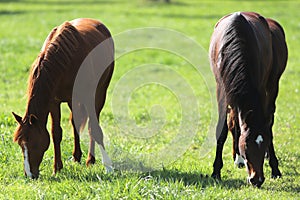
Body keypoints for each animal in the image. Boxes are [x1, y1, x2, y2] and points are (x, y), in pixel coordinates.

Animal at [12, 18, 114, 178]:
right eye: (20, 144)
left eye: (34, 143)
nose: (29, 175)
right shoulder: (53, 102)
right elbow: (56, 133)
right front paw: (57, 168)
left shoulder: (89, 96)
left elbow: (95, 129)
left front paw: (108, 166)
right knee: (75, 123)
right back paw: (77, 156)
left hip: (99, 93)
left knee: (91, 124)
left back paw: (90, 160)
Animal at [210, 12, 288, 188]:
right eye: (245, 145)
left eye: (263, 144)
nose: (256, 179)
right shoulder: (222, 90)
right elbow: (223, 129)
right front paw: (216, 171)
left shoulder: (260, 88)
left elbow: (268, 126)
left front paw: (274, 168)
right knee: (234, 122)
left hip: (272, 85)